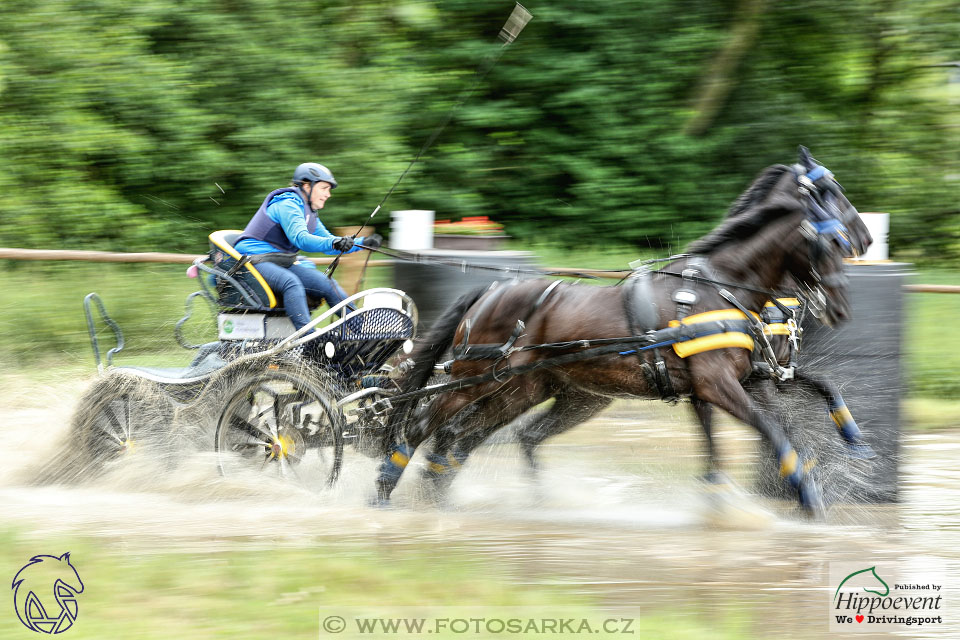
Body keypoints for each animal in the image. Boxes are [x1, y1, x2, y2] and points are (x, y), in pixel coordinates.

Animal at [376, 148, 872, 516]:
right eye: (831, 238)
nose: (864, 240)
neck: (721, 286)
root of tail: (492, 289)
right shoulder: (717, 385)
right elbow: (772, 430)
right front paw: (808, 495)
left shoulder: (745, 379)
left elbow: (800, 404)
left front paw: (853, 441)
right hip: (474, 379)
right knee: (425, 426)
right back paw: (384, 490)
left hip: (534, 391)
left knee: (479, 437)